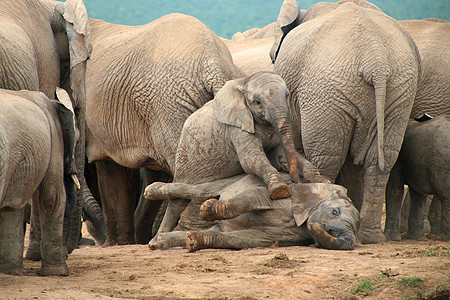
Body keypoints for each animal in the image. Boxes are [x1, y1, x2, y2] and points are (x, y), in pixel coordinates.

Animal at [0, 87, 78, 276]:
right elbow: (53, 197)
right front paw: (59, 273)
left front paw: (13, 272)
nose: (66, 253)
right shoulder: (55, 137)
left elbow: (13, 206)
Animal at [146, 173, 360, 251]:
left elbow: (245, 240)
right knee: (198, 190)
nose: (320, 227)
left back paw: (157, 242)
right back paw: (151, 190)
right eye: (335, 212)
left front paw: (193, 241)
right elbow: (253, 197)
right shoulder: (285, 192)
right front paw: (206, 209)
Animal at [268, 0, 420, 244]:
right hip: (399, 90)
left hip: (326, 90)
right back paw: (369, 237)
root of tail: (375, 59)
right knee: (381, 159)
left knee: (325, 157)